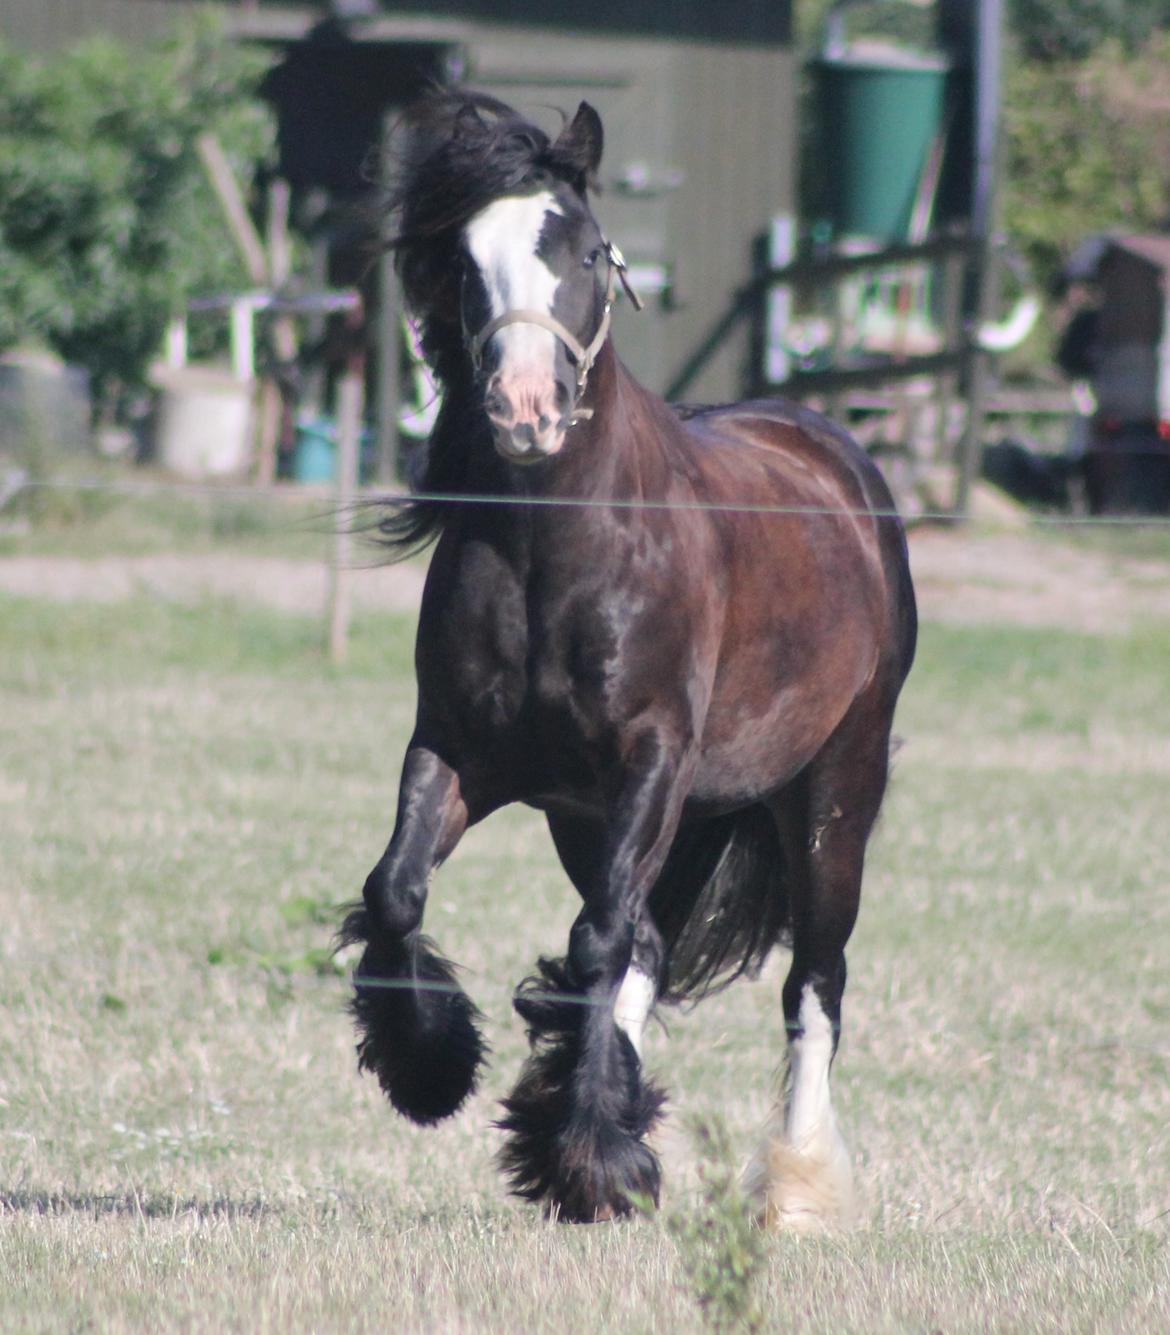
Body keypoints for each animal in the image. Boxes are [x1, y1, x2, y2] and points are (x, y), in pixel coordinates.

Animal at [341, 88, 918, 1222]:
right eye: (464, 261)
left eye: (586, 249)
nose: (525, 409)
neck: (556, 549)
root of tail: (836, 456)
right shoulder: (463, 753)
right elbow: (399, 892)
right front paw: (438, 1070)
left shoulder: (650, 764)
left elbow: (600, 943)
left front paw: (597, 1156)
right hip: (604, 817)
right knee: (643, 942)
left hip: (834, 787)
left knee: (813, 978)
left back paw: (793, 1187)